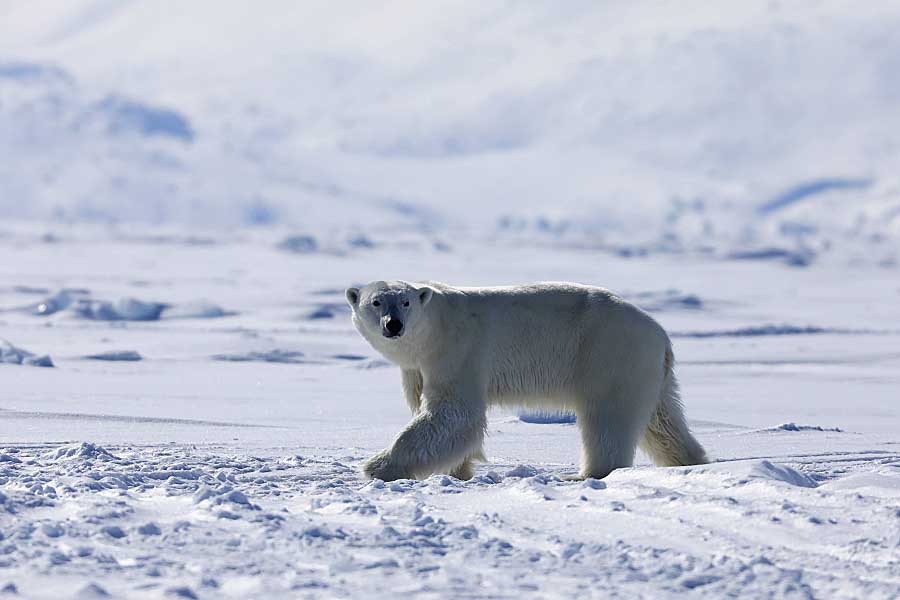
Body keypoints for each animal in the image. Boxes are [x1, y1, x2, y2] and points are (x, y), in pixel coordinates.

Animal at [348, 282, 708, 482]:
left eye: (405, 301)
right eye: (376, 302)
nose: (393, 325)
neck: (435, 324)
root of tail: (661, 335)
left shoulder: (458, 349)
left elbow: (455, 414)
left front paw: (378, 467)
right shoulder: (418, 368)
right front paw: (458, 470)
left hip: (609, 354)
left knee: (609, 420)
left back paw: (584, 474)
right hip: (648, 371)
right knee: (663, 423)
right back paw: (689, 460)